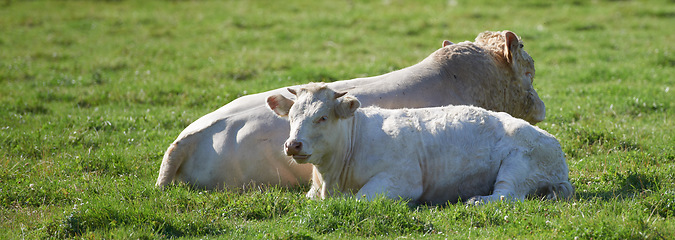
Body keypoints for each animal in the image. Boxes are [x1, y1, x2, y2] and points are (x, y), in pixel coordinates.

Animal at [266, 84, 572, 204]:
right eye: (291, 117)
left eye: (322, 117)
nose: (293, 145)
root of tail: (553, 142)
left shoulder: (401, 180)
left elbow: (361, 197)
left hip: (518, 167)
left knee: (506, 195)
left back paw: (476, 200)